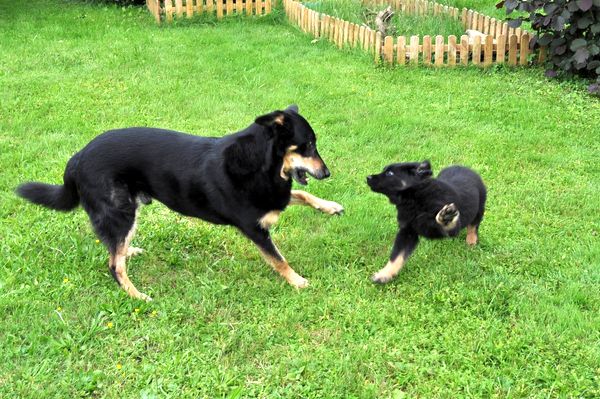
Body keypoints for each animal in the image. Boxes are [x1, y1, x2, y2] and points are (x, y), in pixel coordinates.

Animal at [17, 104, 342, 302]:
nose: (327, 173)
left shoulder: (276, 197)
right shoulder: (255, 227)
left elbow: (302, 195)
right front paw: (297, 281)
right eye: (308, 145)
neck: (261, 163)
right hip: (120, 213)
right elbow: (279, 259)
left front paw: (330, 206)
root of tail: (77, 158)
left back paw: (129, 250)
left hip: (128, 212)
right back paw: (137, 295)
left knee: (116, 249)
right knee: (113, 265)